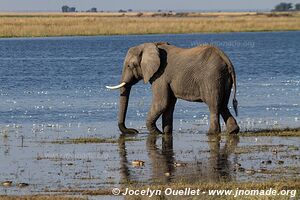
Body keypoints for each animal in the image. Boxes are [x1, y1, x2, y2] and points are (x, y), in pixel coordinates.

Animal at [106, 41, 240, 134]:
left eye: (129, 66)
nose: (134, 131)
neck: (151, 45)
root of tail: (226, 59)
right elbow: (169, 105)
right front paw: (166, 133)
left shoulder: (160, 76)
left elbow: (161, 103)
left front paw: (157, 133)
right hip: (223, 78)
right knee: (222, 104)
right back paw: (233, 131)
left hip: (211, 78)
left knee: (214, 105)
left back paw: (211, 133)